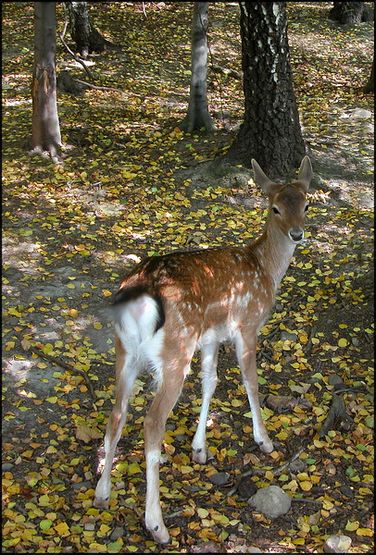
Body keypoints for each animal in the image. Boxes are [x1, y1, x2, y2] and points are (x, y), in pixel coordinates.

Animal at [94, 155, 314, 544]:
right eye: (274, 207)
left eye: (306, 204)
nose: (297, 234)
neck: (265, 270)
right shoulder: (247, 325)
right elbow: (250, 381)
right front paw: (264, 440)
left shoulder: (211, 337)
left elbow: (210, 382)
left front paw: (200, 449)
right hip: (175, 350)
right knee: (152, 422)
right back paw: (157, 525)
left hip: (125, 350)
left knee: (117, 412)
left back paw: (102, 494)